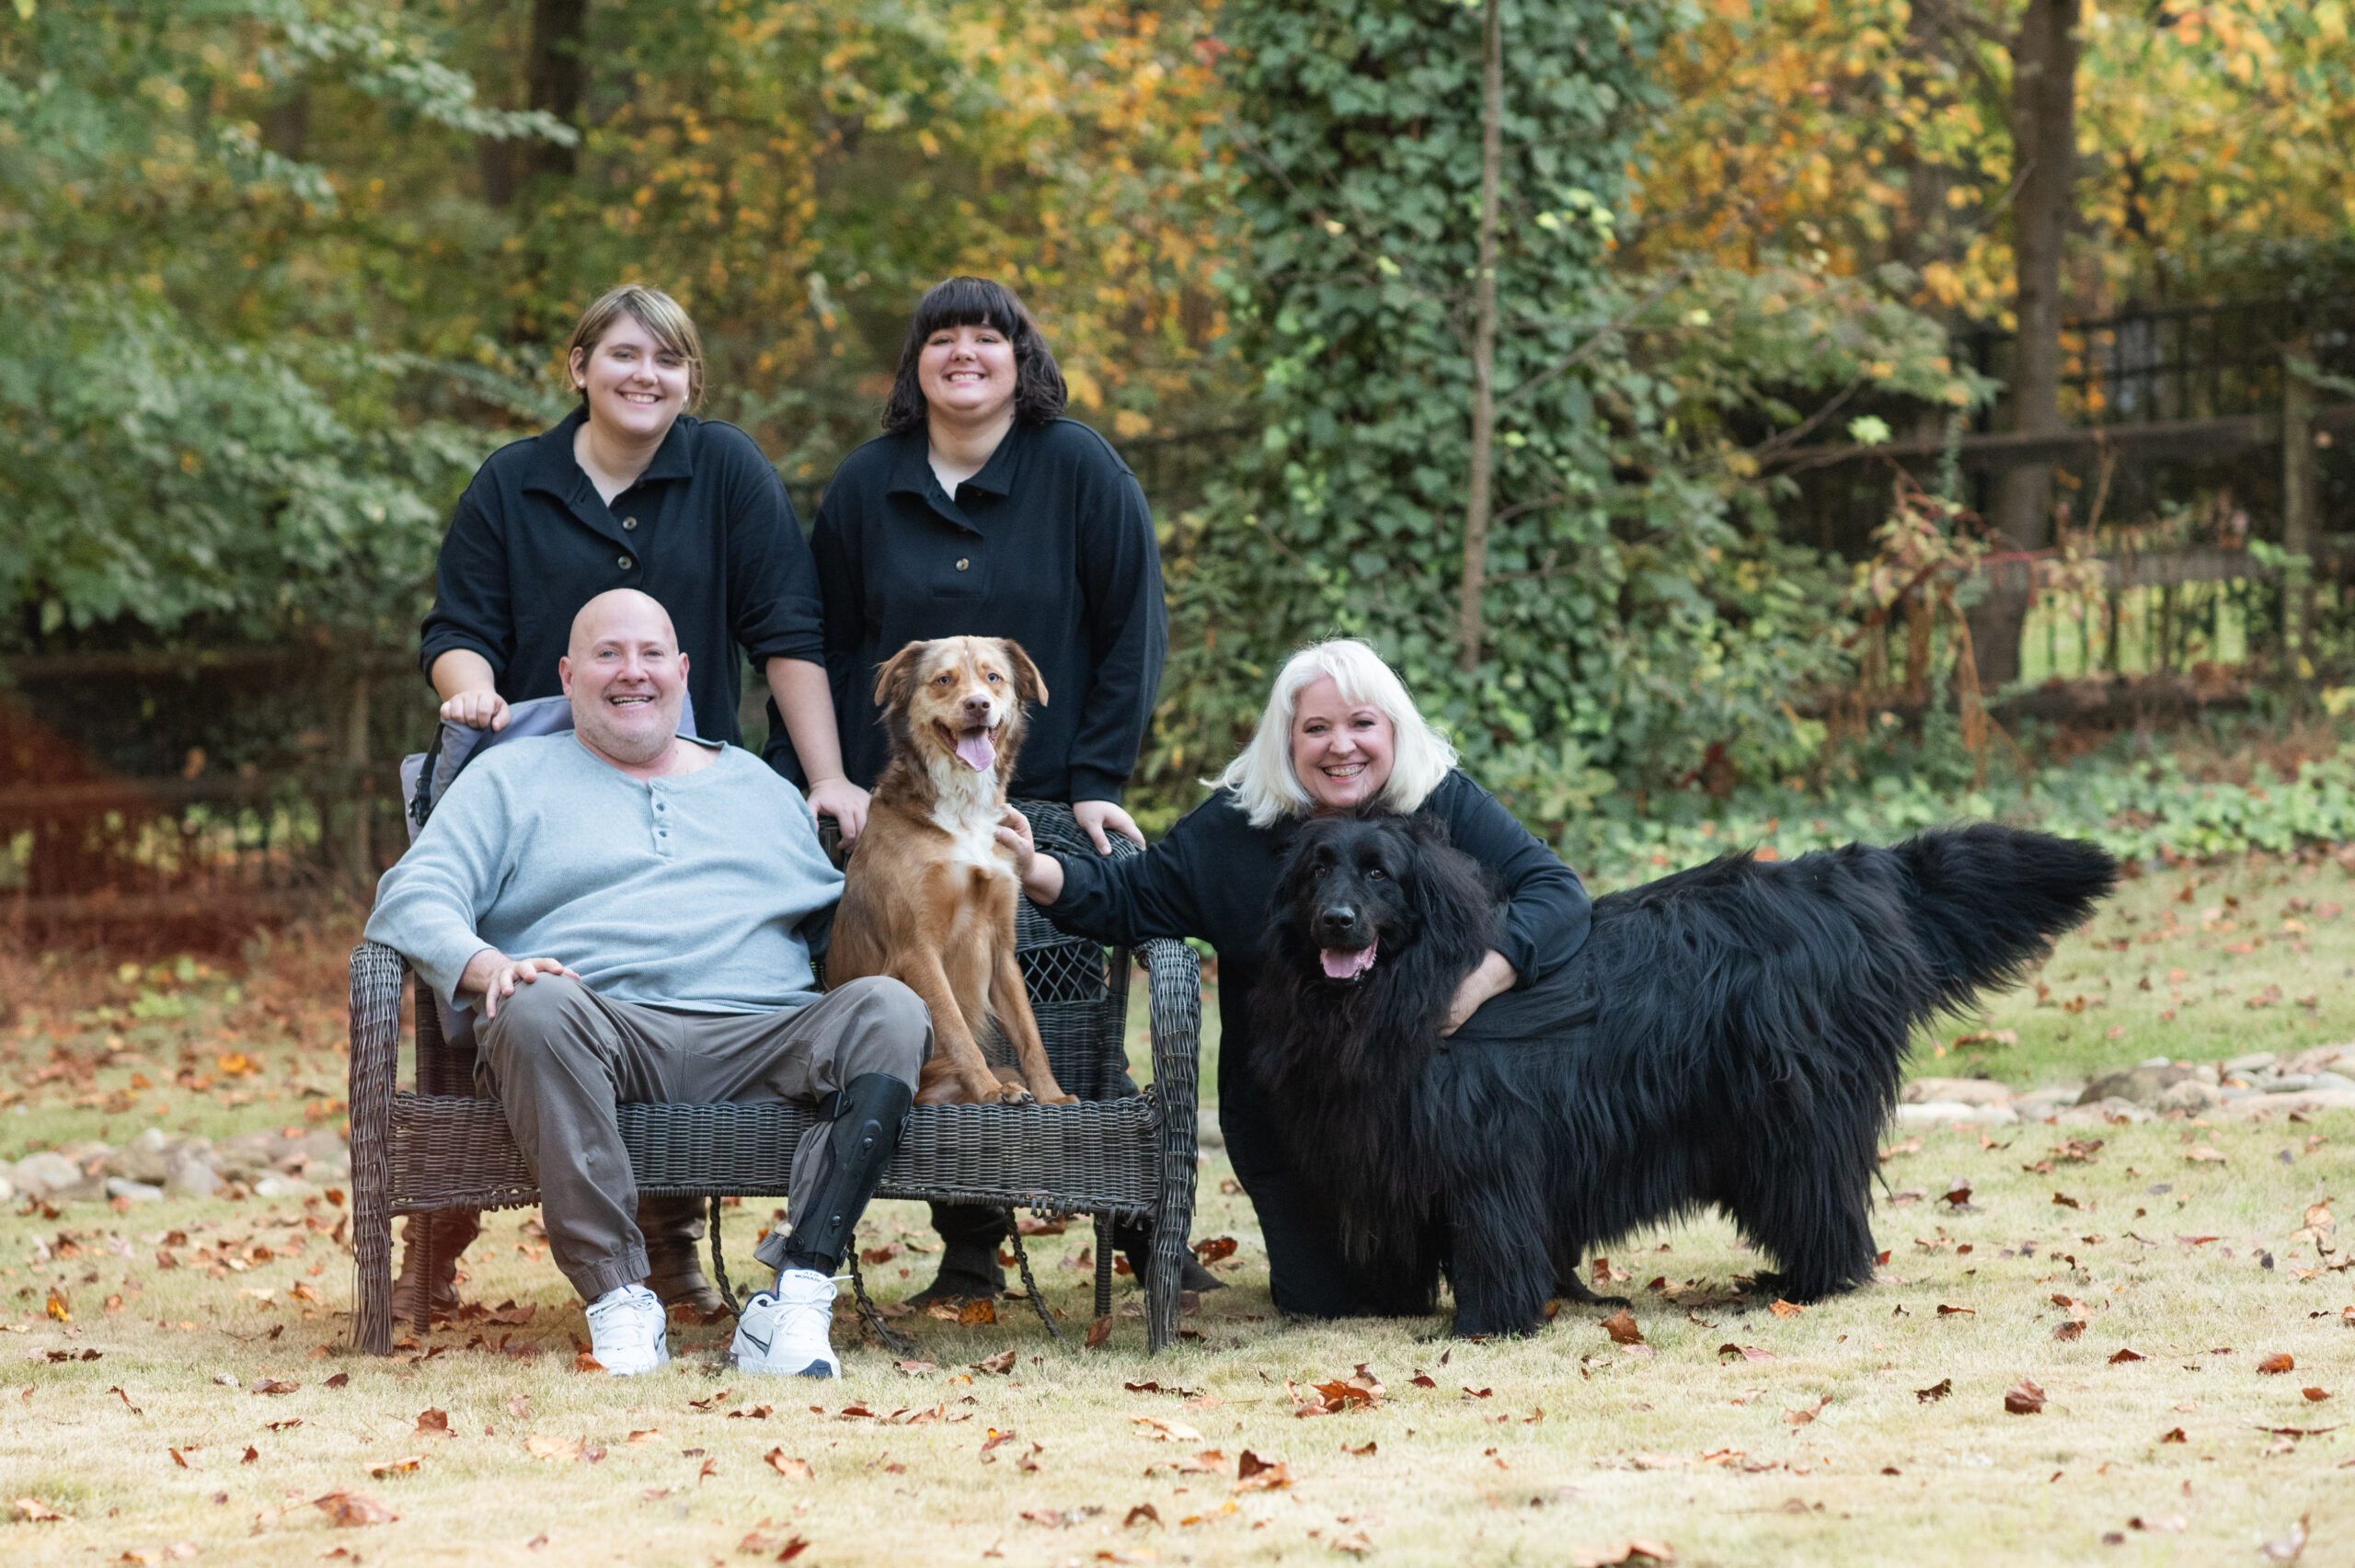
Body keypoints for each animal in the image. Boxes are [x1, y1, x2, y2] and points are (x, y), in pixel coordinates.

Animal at [829, 631, 1078, 1106]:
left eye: (993, 677)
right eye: (944, 679)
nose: (978, 704)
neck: (963, 811)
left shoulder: (1002, 947)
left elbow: (1031, 1035)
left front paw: (1052, 1097)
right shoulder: (917, 948)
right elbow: (956, 1027)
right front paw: (990, 1090)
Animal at [1252, 809, 2120, 1337]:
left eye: (1379, 874)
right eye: (1318, 870)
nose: (1336, 921)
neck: (1424, 975)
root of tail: (1844, 876)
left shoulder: (1491, 1150)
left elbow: (1494, 1234)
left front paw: (1487, 1322)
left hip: (1791, 1110)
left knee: (1822, 1191)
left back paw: (1815, 1280)